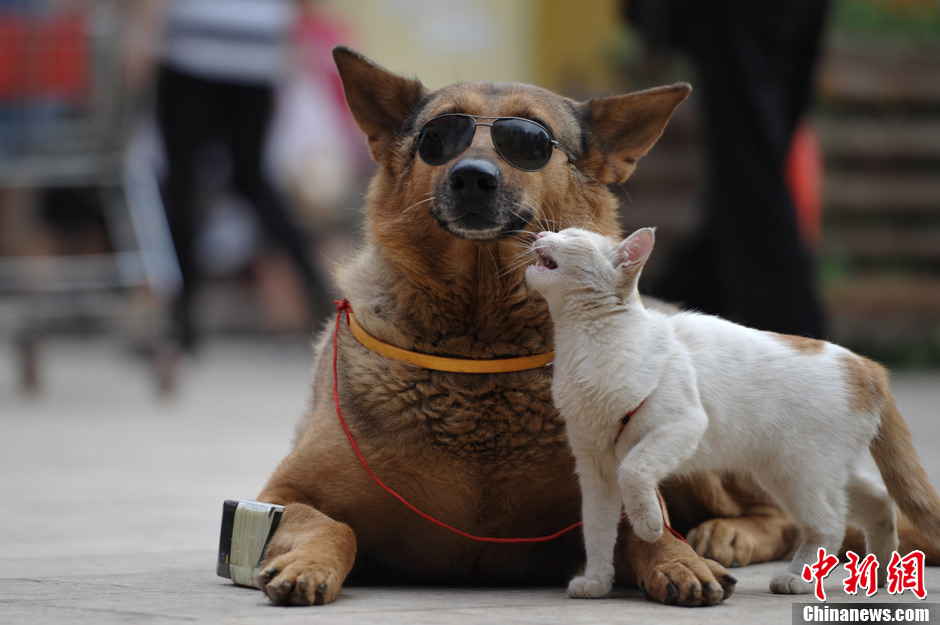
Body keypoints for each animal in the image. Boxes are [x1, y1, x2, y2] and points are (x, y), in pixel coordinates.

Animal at [524, 227, 940, 596]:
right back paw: (882, 573)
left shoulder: (678, 426)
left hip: (798, 474)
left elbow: (635, 473)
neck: (586, 341)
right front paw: (596, 582)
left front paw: (649, 525)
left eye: (572, 235)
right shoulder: (594, 468)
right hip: (816, 469)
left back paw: (799, 579)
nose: (541, 233)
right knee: (879, 501)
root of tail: (865, 365)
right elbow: (596, 530)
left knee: (829, 525)